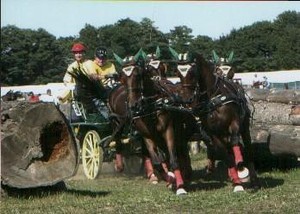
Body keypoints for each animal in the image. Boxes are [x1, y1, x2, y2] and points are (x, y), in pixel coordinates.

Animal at [113, 49, 198, 195]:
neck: (151, 106)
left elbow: (173, 159)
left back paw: (185, 174)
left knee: (181, 151)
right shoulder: (147, 136)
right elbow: (158, 162)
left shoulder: (168, 130)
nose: (133, 105)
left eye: (138, 75)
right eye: (122, 77)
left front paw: (179, 186)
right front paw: (169, 178)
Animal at [170, 49, 258, 192]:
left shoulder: (234, 123)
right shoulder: (212, 133)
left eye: (192, 72)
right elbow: (226, 155)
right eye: (177, 73)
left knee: (247, 149)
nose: (186, 98)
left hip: (244, 127)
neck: (213, 97)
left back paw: (253, 178)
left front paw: (240, 167)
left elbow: (235, 142)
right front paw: (237, 184)